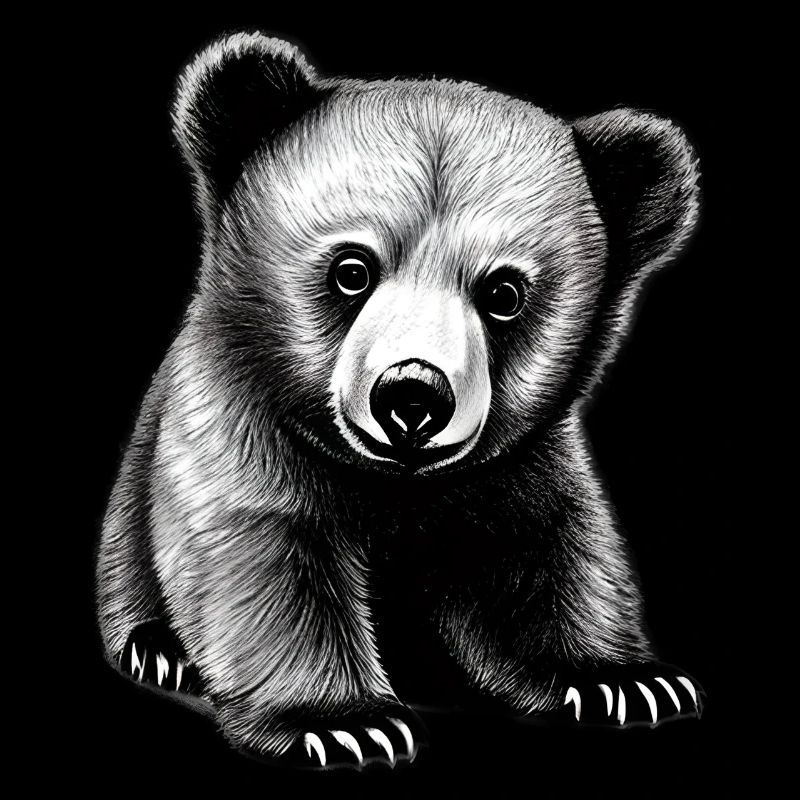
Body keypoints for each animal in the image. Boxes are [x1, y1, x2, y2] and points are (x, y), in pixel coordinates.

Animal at [96, 31, 704, 770]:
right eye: (352, 270)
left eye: (504, 293)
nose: (412, 396)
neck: (399, 485)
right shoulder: (243, 424)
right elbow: (266, 556)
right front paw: (343, 723)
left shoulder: (517, 469)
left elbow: (546, 553)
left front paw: (623, 679)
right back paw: (160, 650)